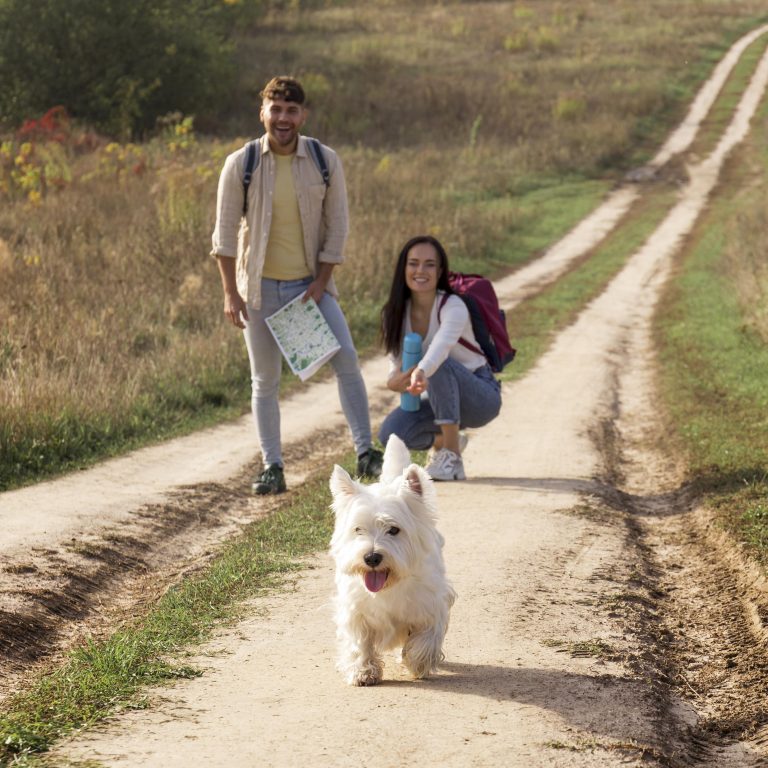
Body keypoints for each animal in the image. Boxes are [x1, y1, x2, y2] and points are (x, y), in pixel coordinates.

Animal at [328, 436, 456, 688]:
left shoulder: (432, 603)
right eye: (358, 529)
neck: (390, 586)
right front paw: (363, 671)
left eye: (394, 530)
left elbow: (426, 637)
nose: (371, 557)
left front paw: (417, 663)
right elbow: (359, 642)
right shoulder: (355, 609)